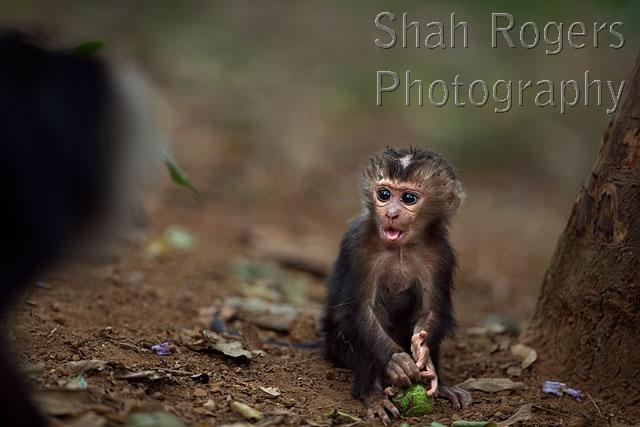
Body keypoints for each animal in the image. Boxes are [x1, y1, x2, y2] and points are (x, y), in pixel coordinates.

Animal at [322, 147, 472, 424]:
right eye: (384, 194)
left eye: (409, 198)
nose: (391, 214)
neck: (401, 248)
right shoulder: (357, 244)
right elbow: (362, 310)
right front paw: (397, 360)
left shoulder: (441, 254)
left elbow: (430, 311)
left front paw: (422, 352)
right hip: (336, 346)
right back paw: (374, 394)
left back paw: (443, 387)